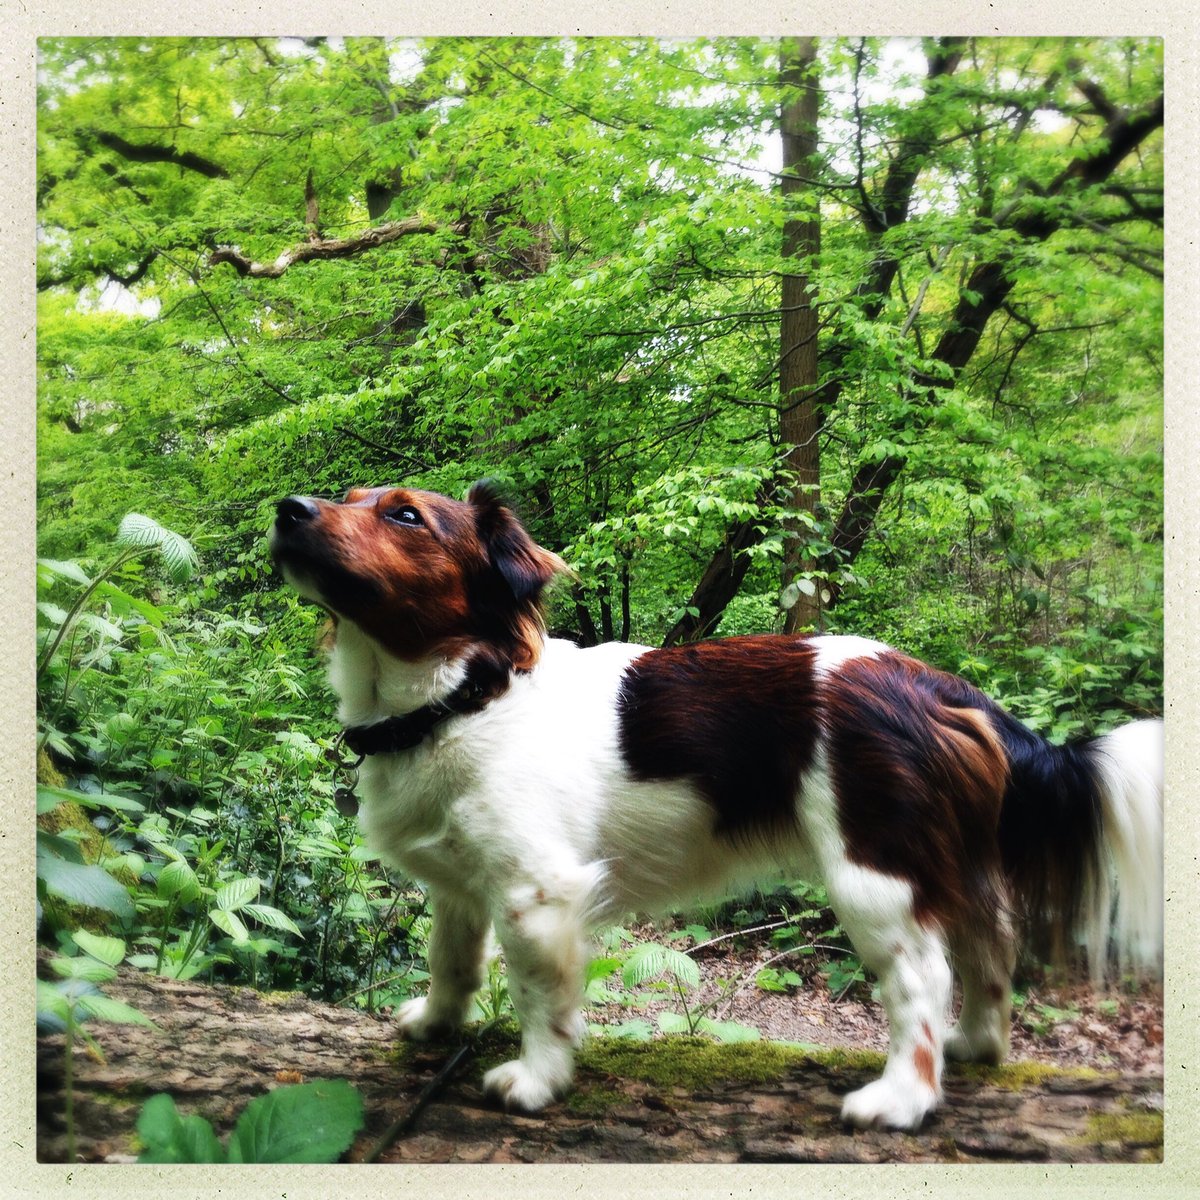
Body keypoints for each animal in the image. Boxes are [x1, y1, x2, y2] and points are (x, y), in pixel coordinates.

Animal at [274, 482, 1161, 1128]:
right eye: (350, 496)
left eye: (404, 515)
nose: (289, 510)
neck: (466, 695)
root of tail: (935, 684)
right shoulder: (463, 886)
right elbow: (452, 961)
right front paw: (435, 1024)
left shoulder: (537, 894)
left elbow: (540, 996)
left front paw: (538, 1078)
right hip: (944, 857)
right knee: (990, 945)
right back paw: (978, 1045)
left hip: (873, 875)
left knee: (924, 978)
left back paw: (903, 1099)